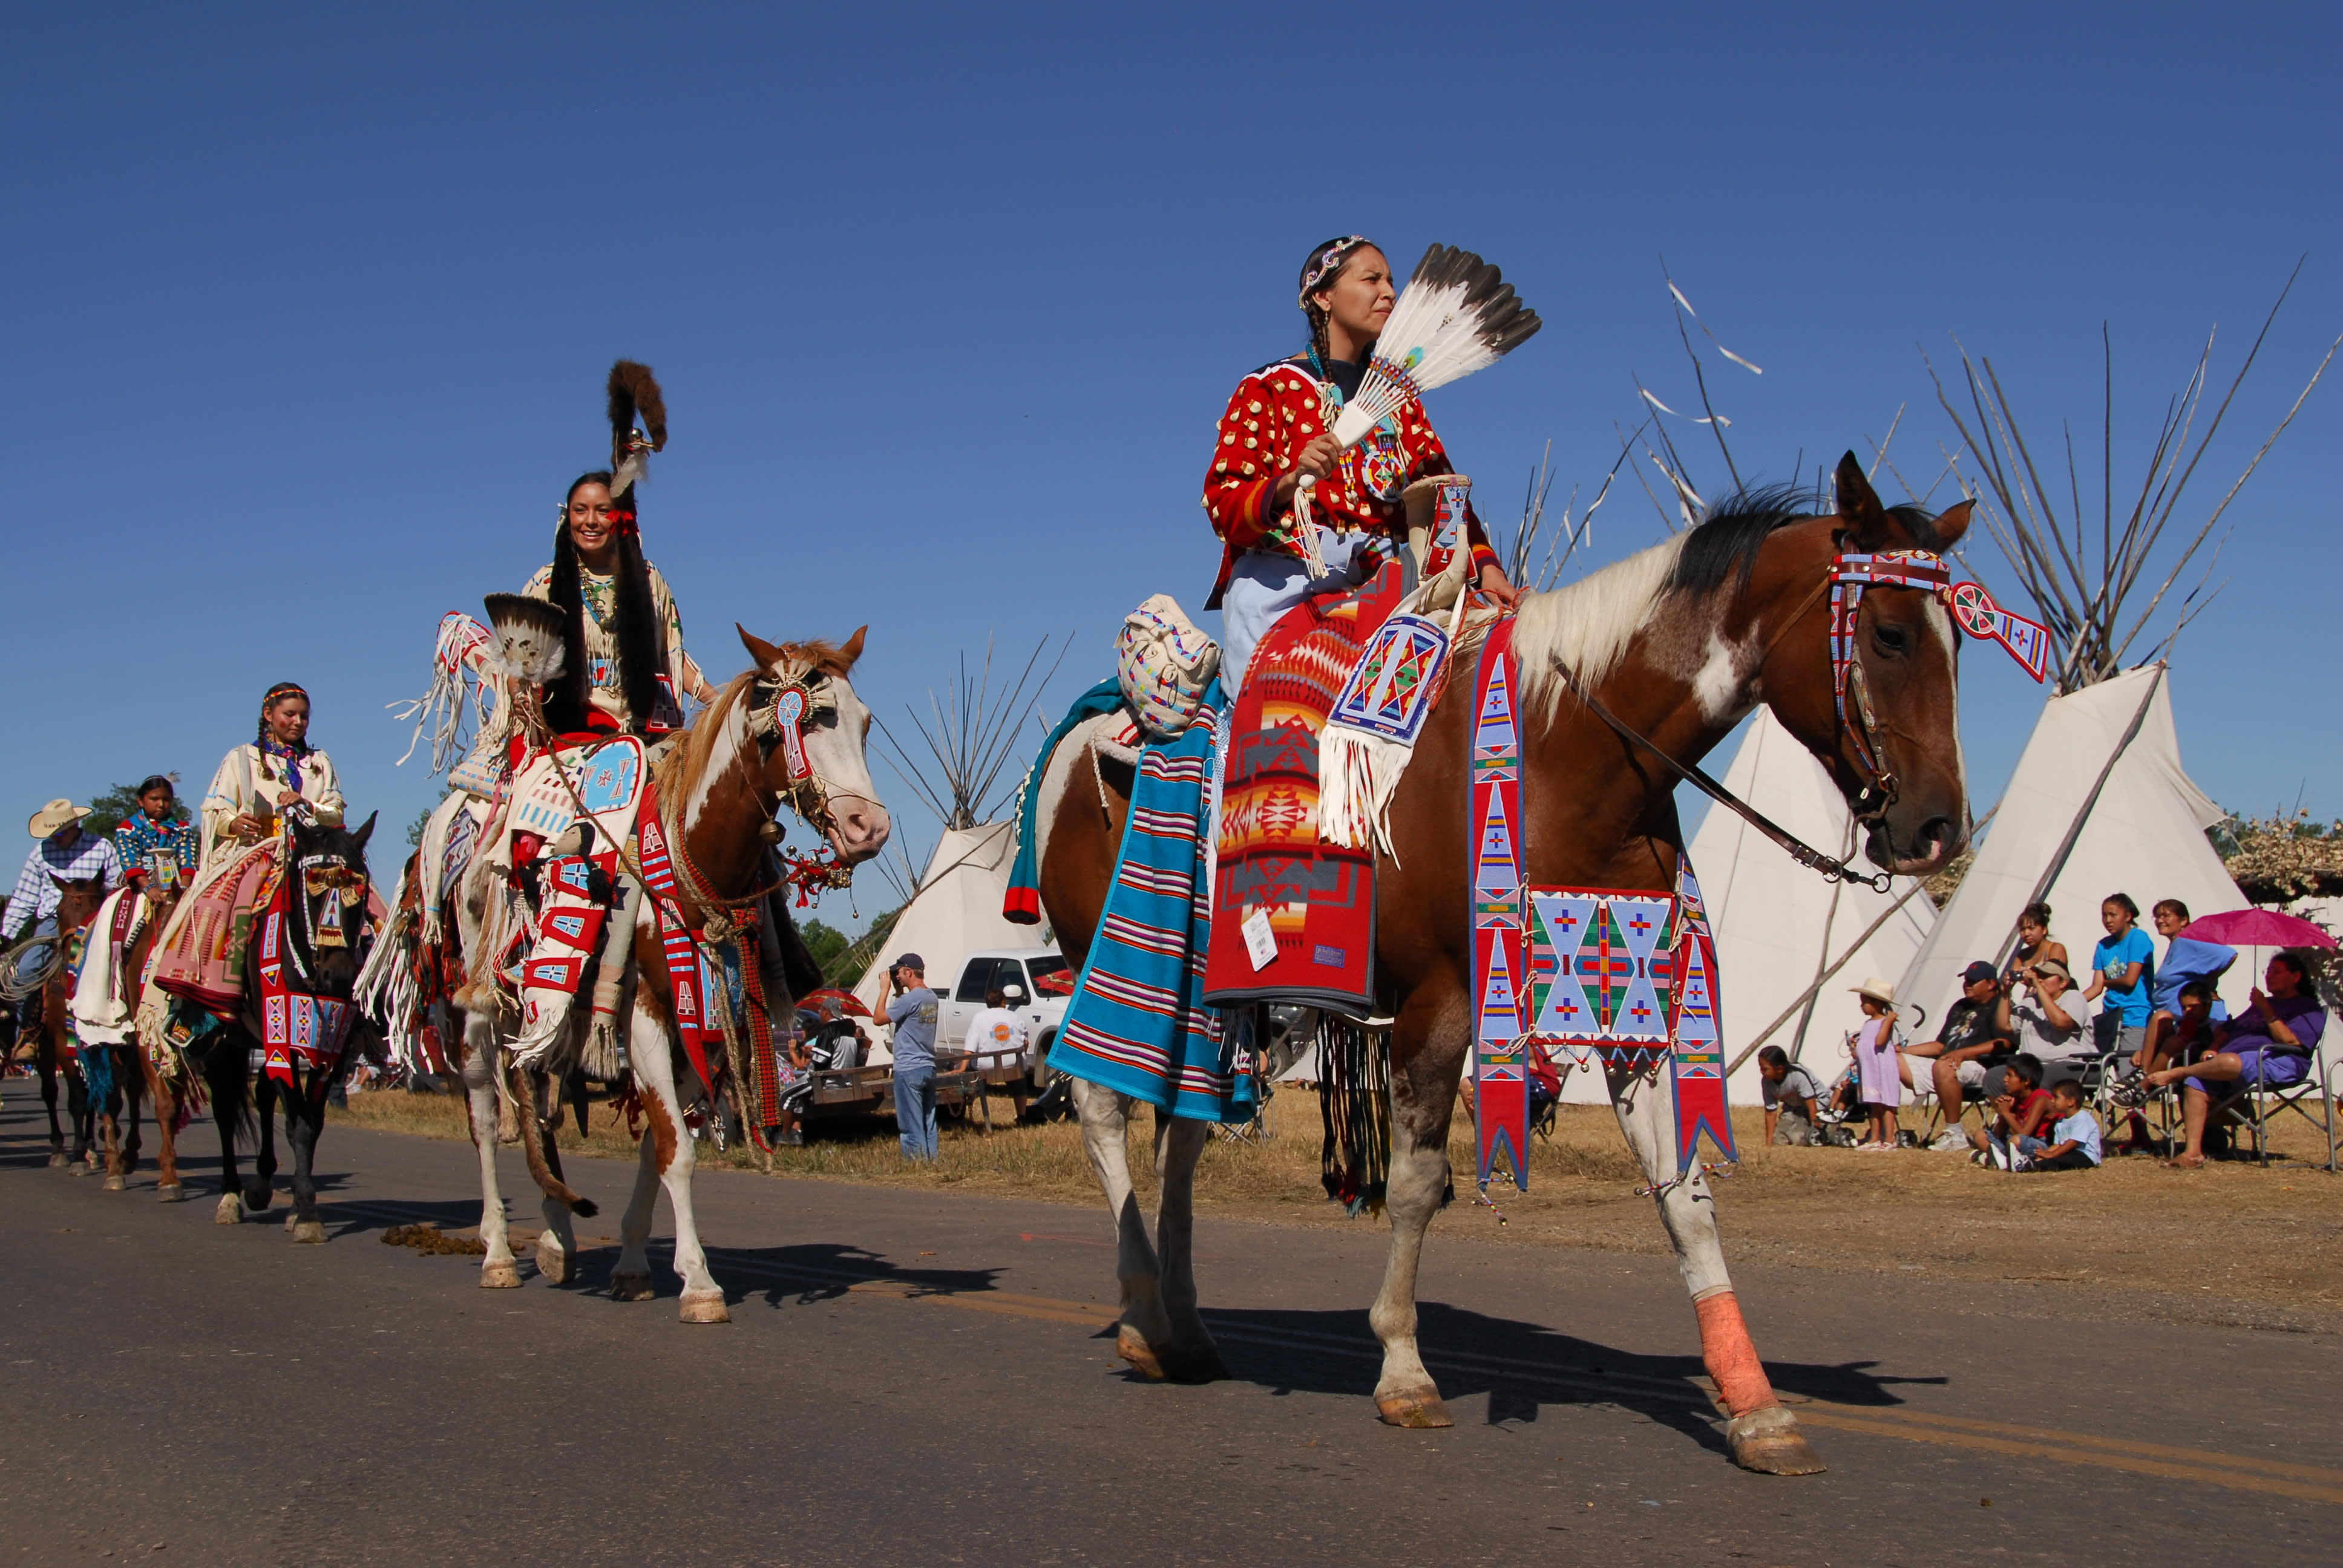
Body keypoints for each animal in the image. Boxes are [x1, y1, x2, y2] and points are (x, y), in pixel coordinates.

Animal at [445, 618, 885, 1312]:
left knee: (539, 1104)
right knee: (488, 1116)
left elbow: (660, 1141)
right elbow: (676, 1149)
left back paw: (557, 1239)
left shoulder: (698, 1021)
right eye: (809, 719)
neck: (693, 852)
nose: (869, 827)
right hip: (483, 998)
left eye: (863, 722)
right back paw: (497, 1251)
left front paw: (632, 1263)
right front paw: (699, 1283)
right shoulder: (647, 1009)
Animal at [1035, 452, 1968, 1472]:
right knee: (1105, 1114)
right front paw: (1404, 1372)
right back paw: (1140, 1317)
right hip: (1110, 961)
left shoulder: (1630, 1008)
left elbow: (1685, 1199)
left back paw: (1185, 1332)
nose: (1938, 827)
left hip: (1212, 1003)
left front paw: (1758, 1409)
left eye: (1958, 640)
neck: (1571, 755)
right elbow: (1416, 1188)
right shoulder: (1437, 1003)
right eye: (1888, 633)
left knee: (1184, 1134)